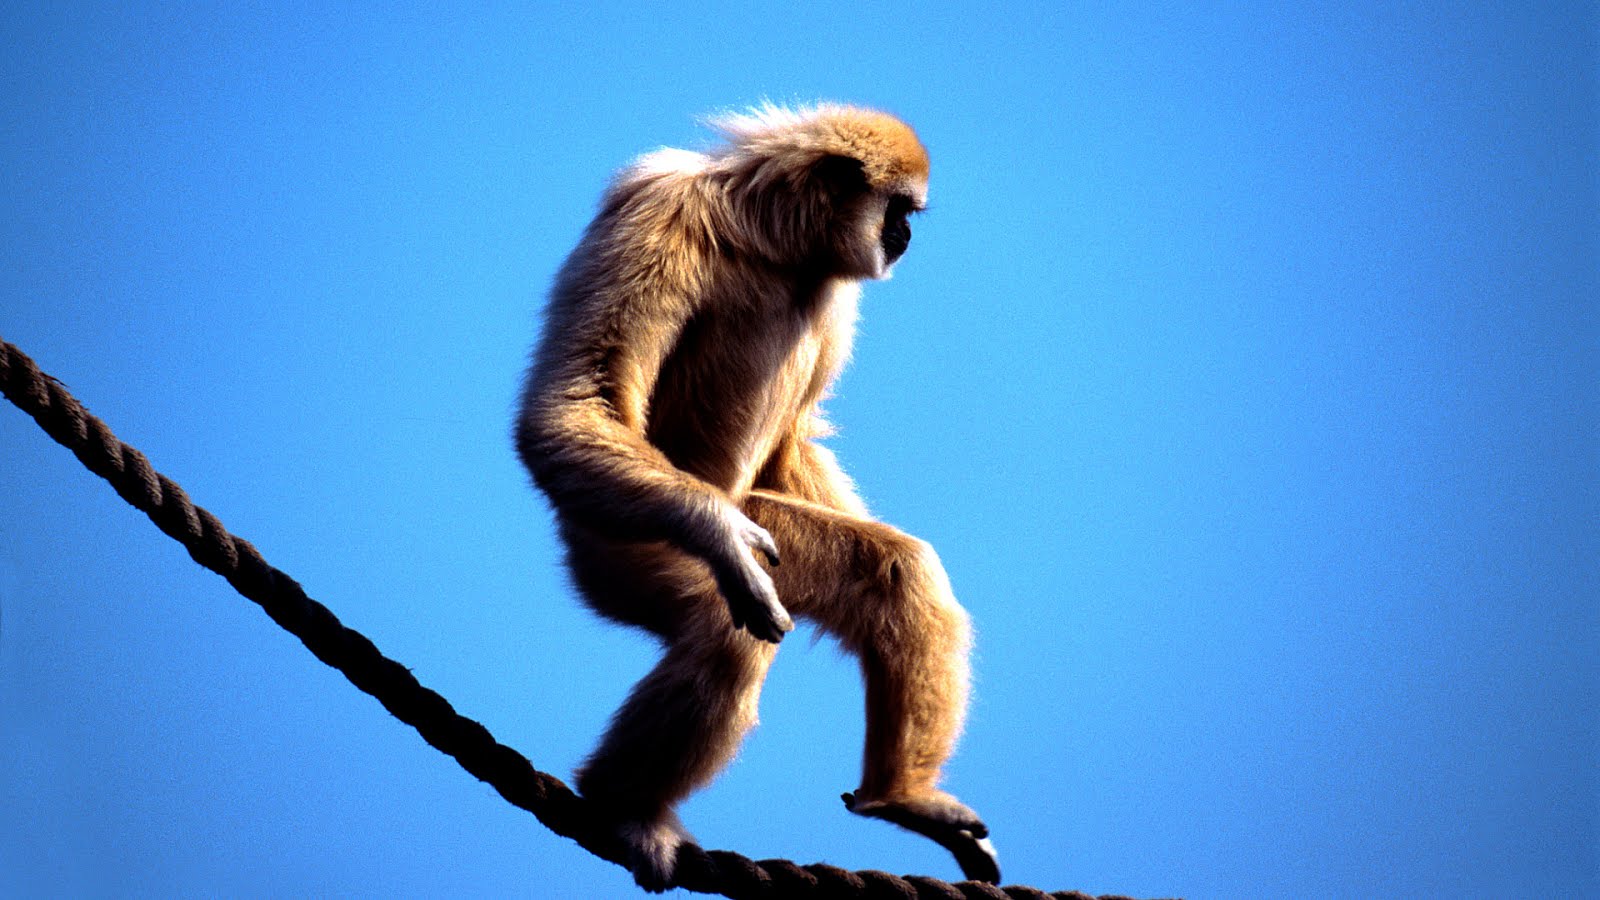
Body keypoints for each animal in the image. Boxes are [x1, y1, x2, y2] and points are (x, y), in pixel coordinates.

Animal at [515, 103, 998, 890]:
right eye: (899, 211)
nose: (905, 236)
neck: (764, 236)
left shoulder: (834, 289)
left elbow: (795, 441)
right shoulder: (657, 207)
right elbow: (572, 405)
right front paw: (720, 535)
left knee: (898, 572)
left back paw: (899, 797)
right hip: (619, 538)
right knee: (727, 631)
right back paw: (623, 807)